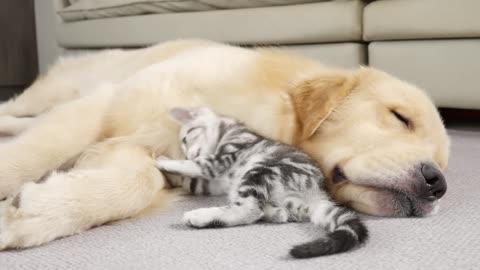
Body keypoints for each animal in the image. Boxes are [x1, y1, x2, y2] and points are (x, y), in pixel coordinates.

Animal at [157, 106, 368, 258]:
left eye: (186, 138)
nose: (187, 153)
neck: (229, 129)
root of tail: (318, 193)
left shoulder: (221, 159)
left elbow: (192, 165)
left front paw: (161, 160)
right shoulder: (214, 183)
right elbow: (190, 180)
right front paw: (169, 175)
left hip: (260, 170)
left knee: (249, 210)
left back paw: (199, 216)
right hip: (281, 195)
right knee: (278, 213)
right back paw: (274, 213)